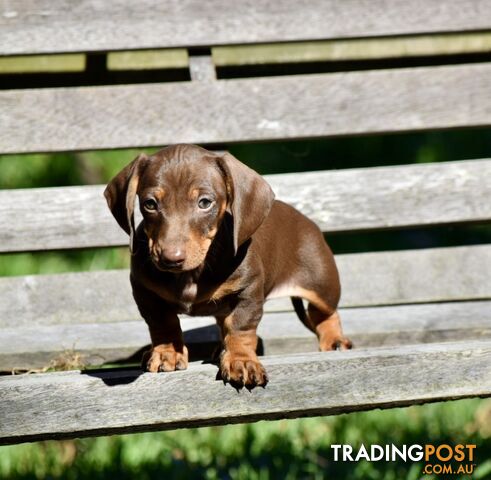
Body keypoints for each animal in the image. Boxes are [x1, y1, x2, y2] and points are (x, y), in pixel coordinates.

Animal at [105, 144, 354, 388]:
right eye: (150, 204)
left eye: (205, 202)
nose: (170, 259)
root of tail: (305, 219)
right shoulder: (145, 292)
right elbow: (163, 324)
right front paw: (168, 352)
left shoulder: (248, 292)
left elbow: (240, 328)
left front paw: (241, 360)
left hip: (322, 284)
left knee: (326, 313)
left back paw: (334, 340)